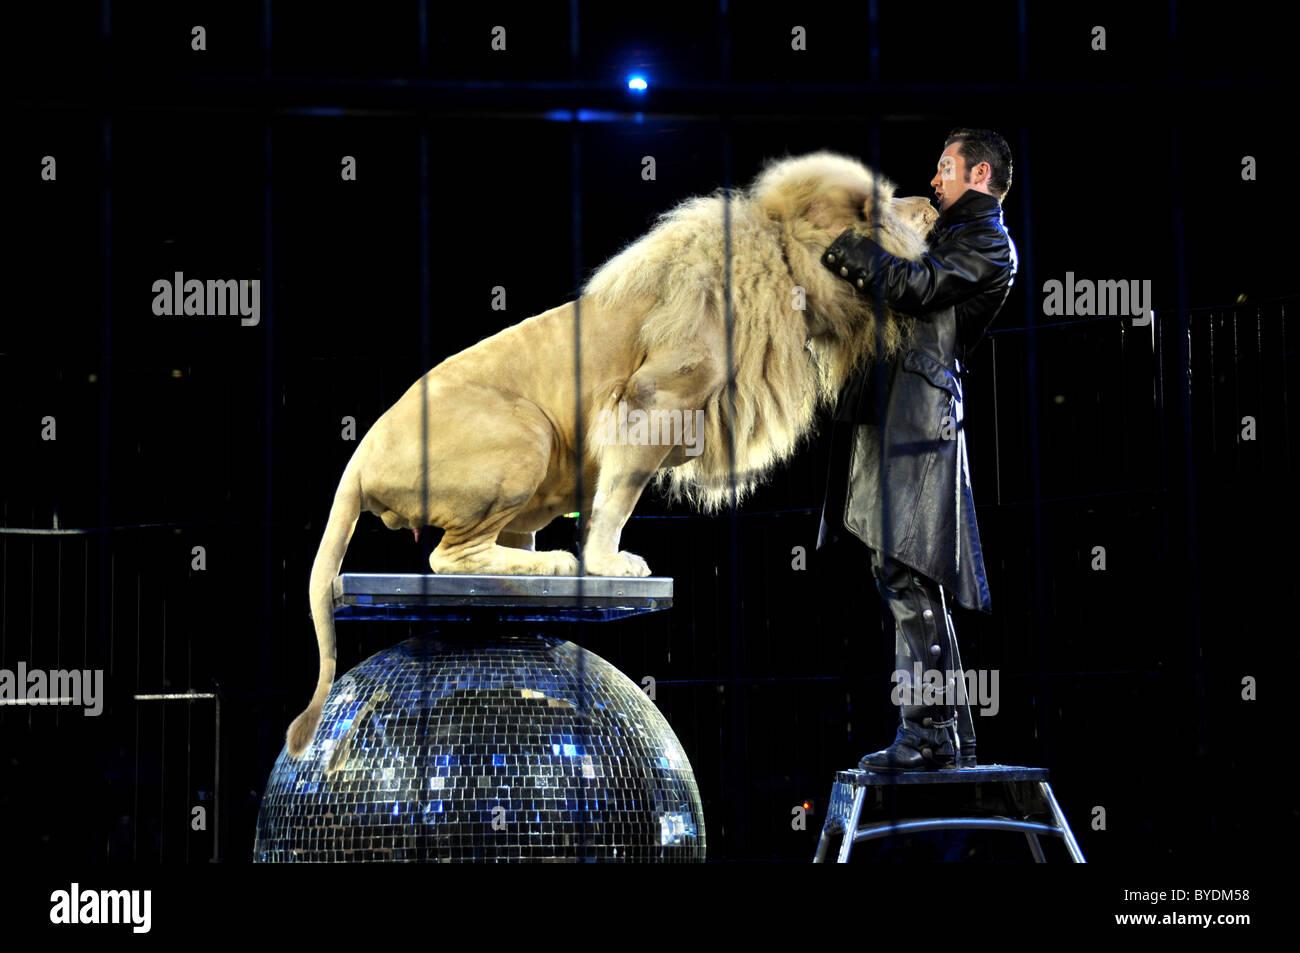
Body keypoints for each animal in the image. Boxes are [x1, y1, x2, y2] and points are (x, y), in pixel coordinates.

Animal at [287, 150, 935, 759]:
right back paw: (555, 565)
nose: (930, 203)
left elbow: (605, 500)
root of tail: (357, 461)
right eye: (880, 208)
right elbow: (619, 500)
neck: (779, 263)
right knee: (449, 557)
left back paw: (532, 562)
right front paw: (605, 564)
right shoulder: (652, 401)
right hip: (529, 432)